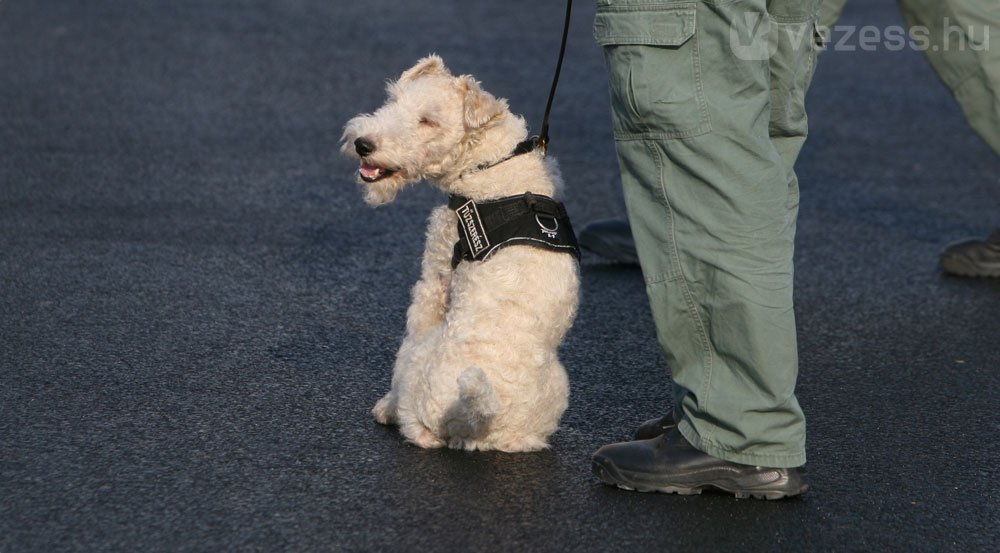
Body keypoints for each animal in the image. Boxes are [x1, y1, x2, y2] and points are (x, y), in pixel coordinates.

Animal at [342, 55, 580, 452]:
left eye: (428, 120)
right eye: (394, 100)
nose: (363, 144)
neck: (491, 161)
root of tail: (477, 416)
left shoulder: (435, 276)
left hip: (423, 361)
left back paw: (391, 409)